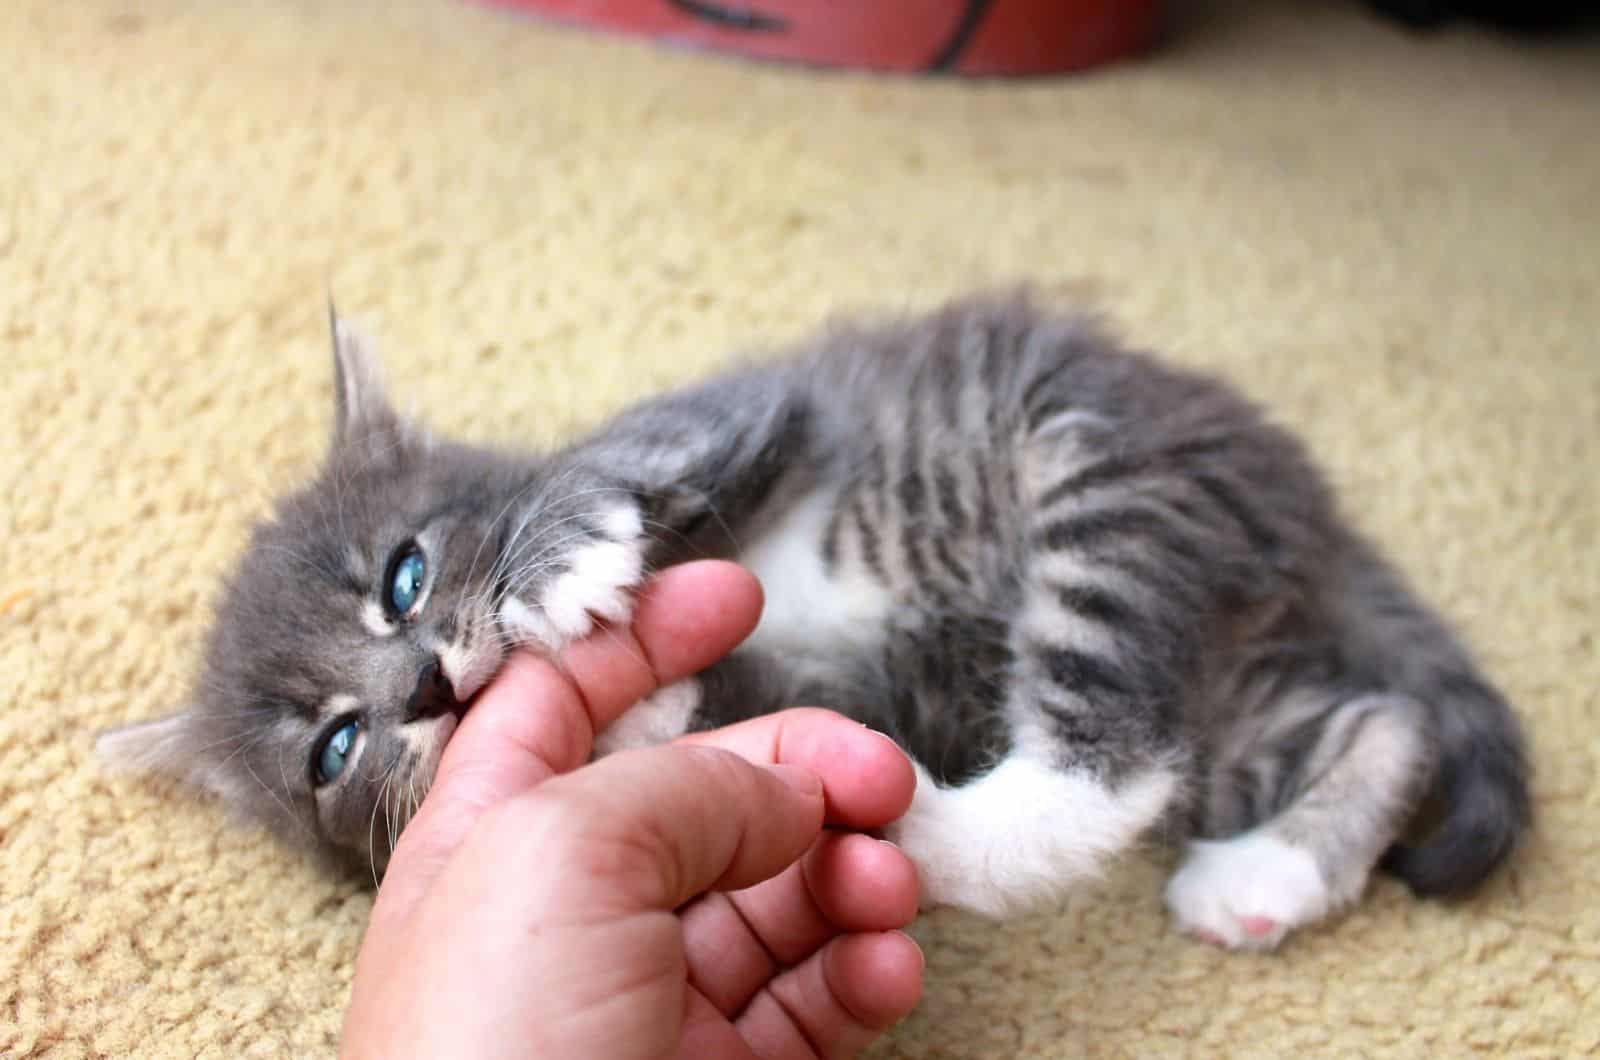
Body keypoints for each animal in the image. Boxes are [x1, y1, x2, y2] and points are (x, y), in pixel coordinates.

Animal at [96, 294, 1523, 947]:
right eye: (334, 750)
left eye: (400, 576)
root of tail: (1278, 468)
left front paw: (559, 562)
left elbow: (615, 457)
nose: (426, 693)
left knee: (1114, 743)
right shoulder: (845, 673)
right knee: (1366, 722)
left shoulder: (749, 409)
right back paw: (1259, 868)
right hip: (1222, 676)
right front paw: (647, 719)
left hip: (1106, 478)